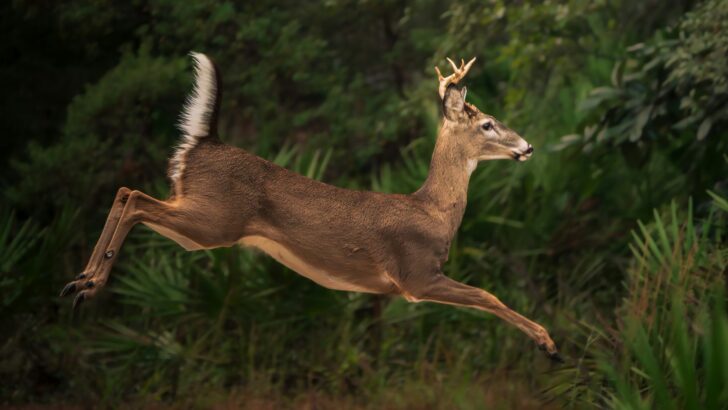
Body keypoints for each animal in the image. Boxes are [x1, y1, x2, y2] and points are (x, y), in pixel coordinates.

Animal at [60, 53, 562, 362]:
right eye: (488, 123)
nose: (529, 147)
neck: (434, 210)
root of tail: (204, 142)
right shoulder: (415, 275)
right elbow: (488, 295)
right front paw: (549, 343)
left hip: (200, 219)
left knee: (125, 192)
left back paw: (79, 282)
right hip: (212, 220)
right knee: (135, 197)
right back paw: (88, 284)